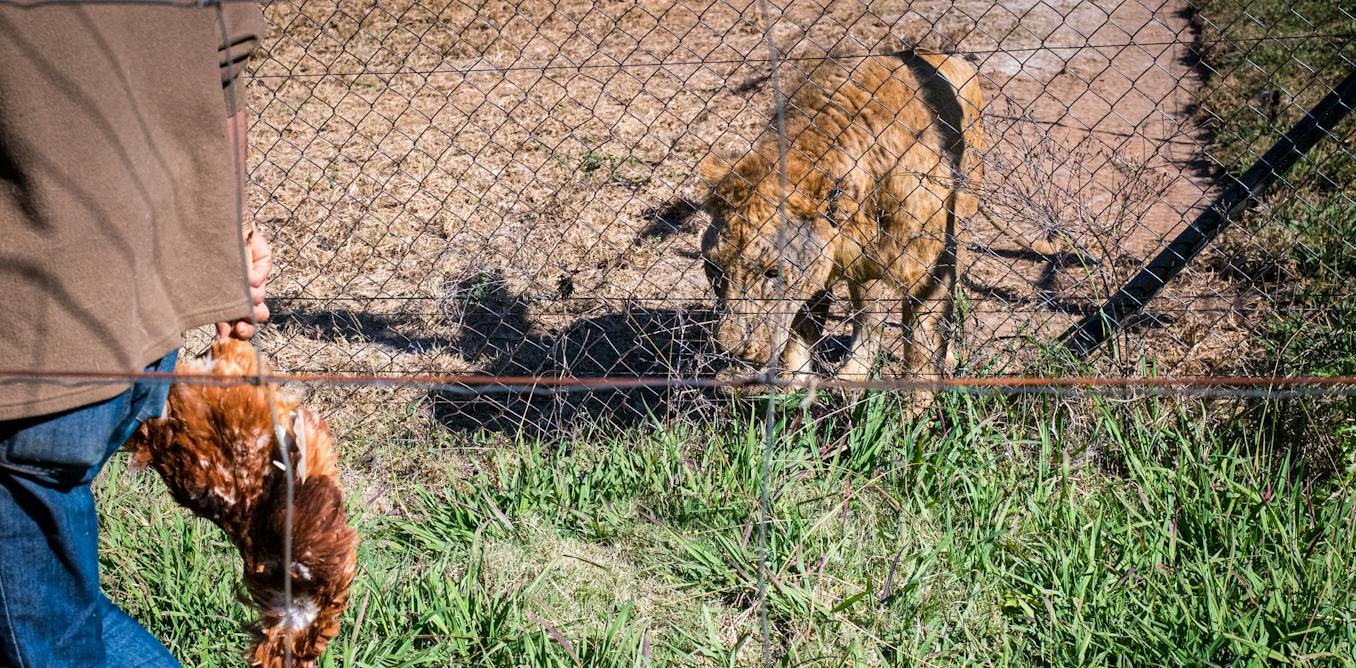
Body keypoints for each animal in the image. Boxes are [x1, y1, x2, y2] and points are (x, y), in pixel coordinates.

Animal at [698, 50, 987, 383]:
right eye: (714, 269)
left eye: (772, 274)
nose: (734, 350)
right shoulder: (821, 266)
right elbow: (801, 331)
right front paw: (794, 386)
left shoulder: (927, 263)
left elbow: (921, 346)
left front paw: (920, 395)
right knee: (868, 310)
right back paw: (853, 373)